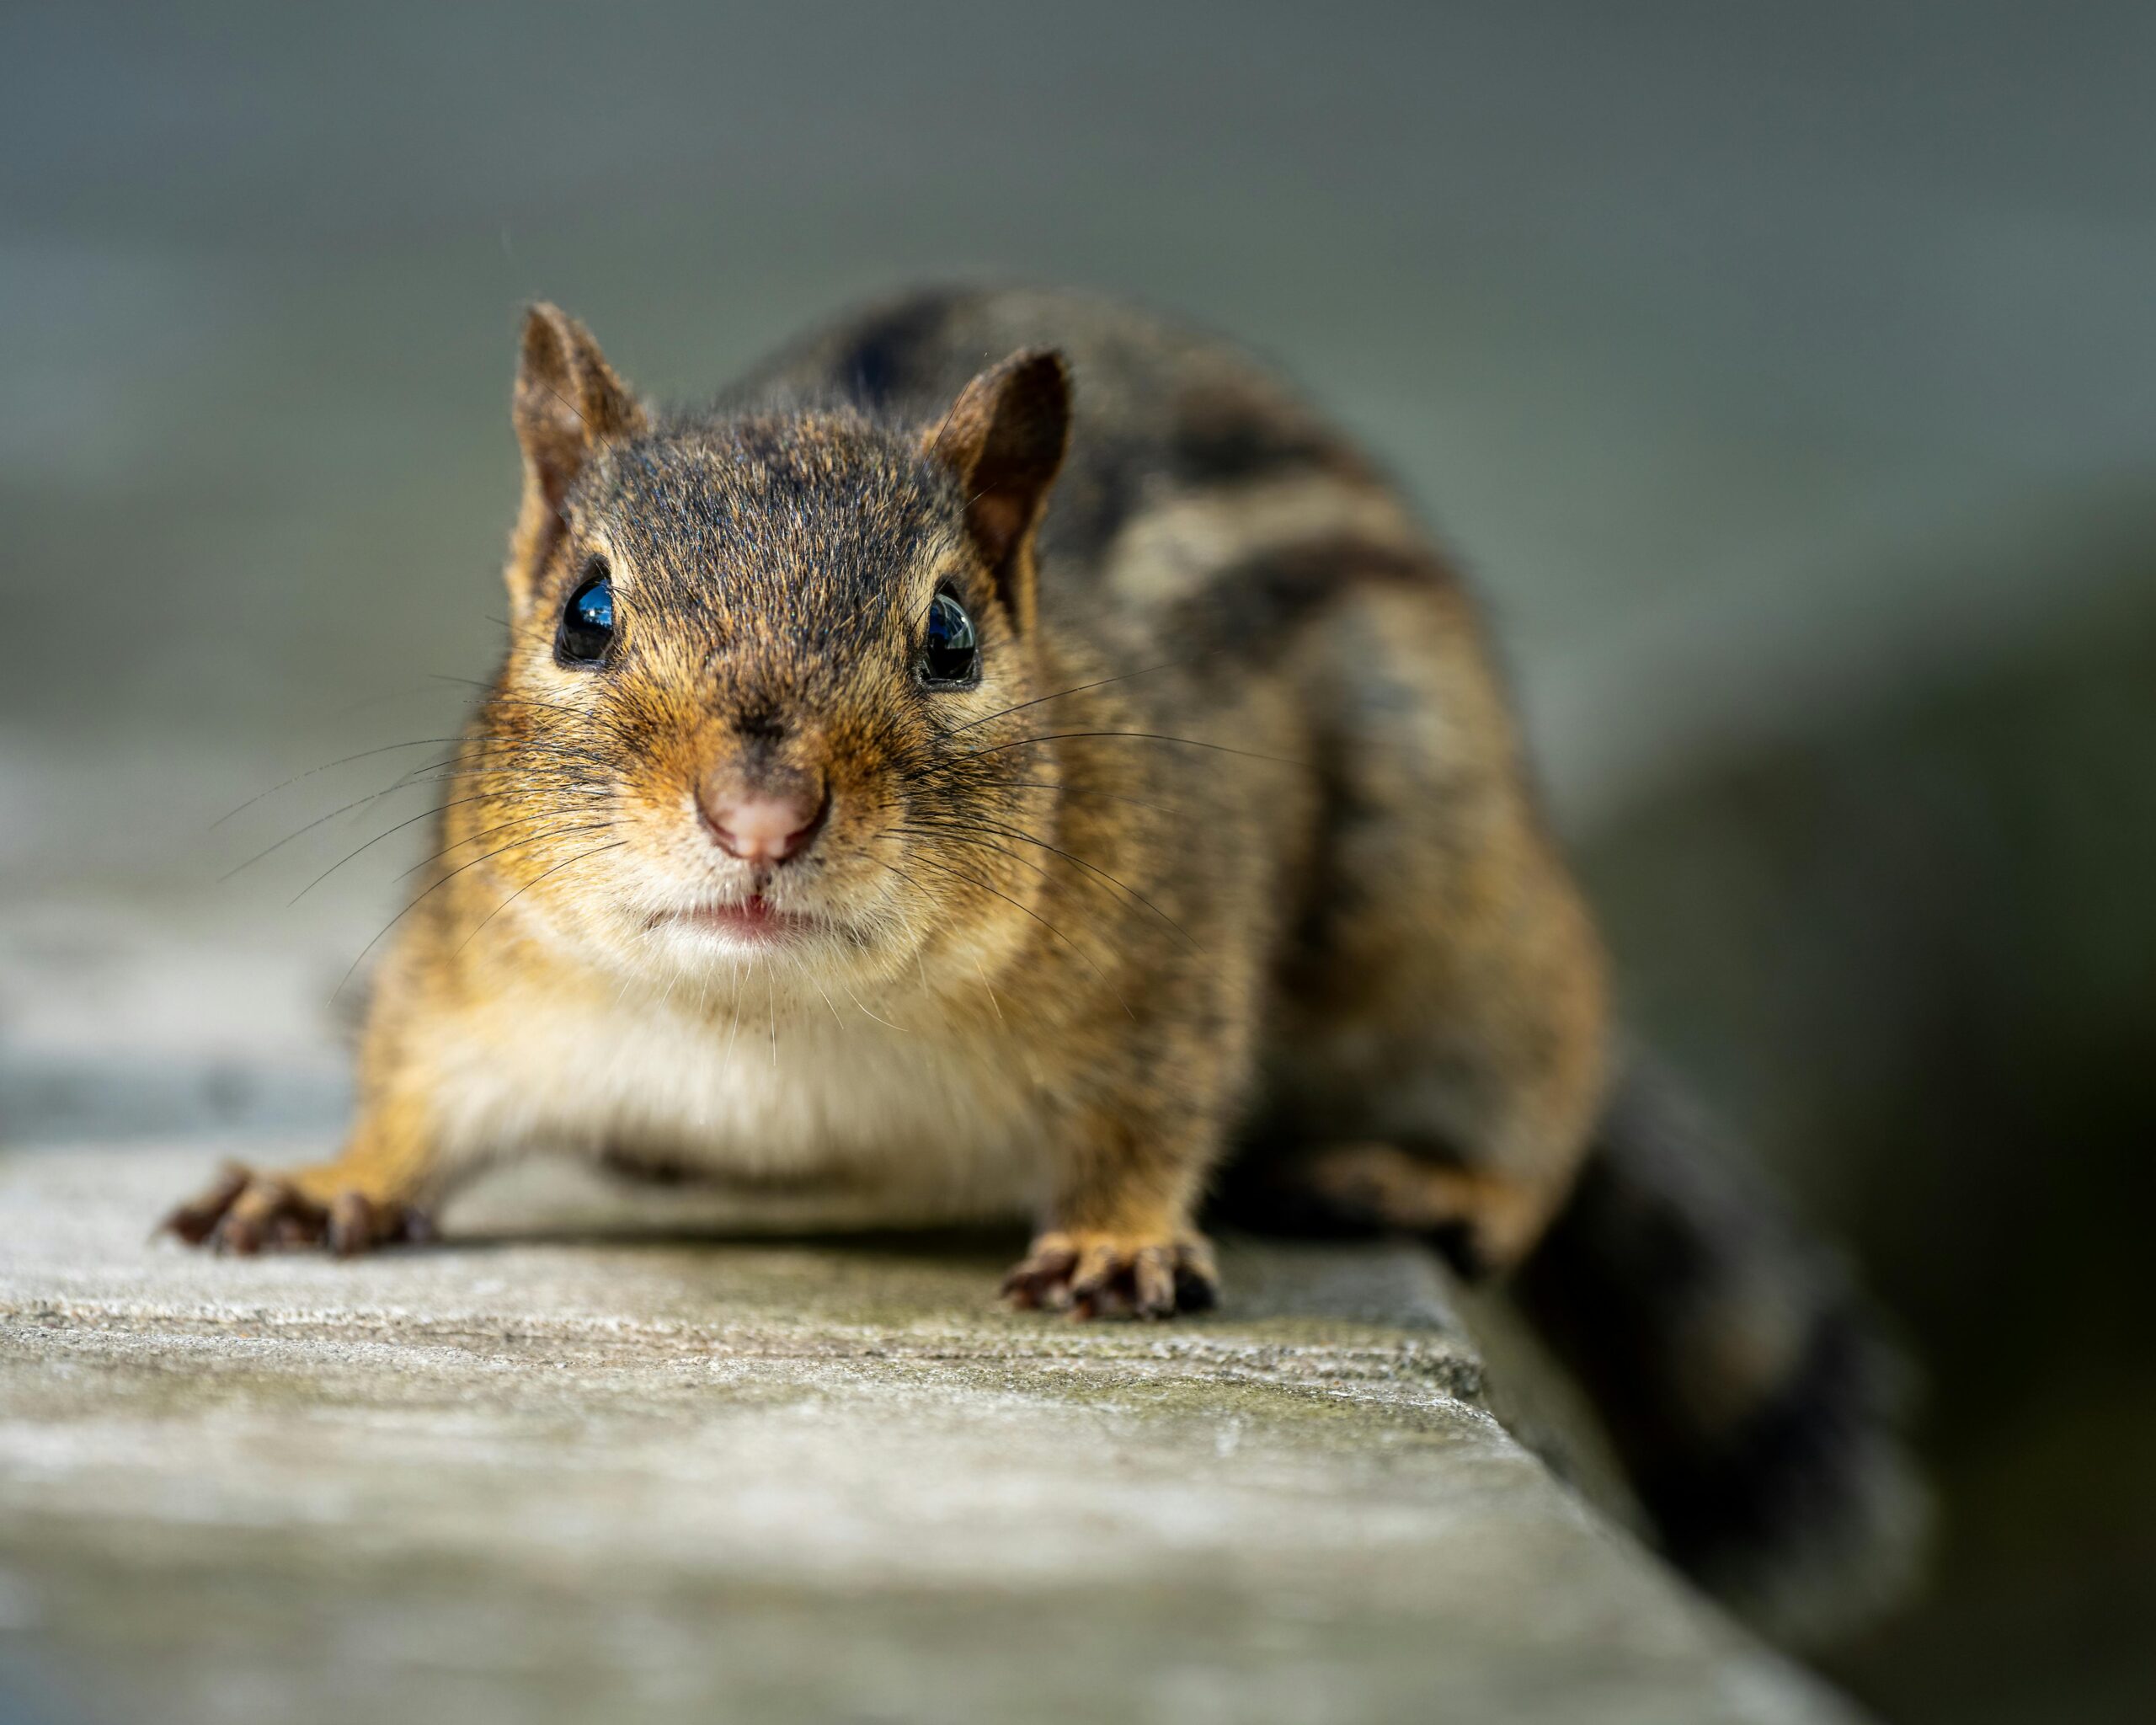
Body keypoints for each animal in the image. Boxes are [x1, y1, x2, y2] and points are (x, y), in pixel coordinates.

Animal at [163, 285, 1921, 1637]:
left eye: (952, 636)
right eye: (585, 612)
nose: (760, 812)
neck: (774, 1031)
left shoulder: (1171, 958)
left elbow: (1154, 1110)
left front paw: (1116, 1241)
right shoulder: (474, 970)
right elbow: (412, 1087)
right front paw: (325, 1181)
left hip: (1461, 930)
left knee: (1550, 1074)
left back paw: (1436, 1175)